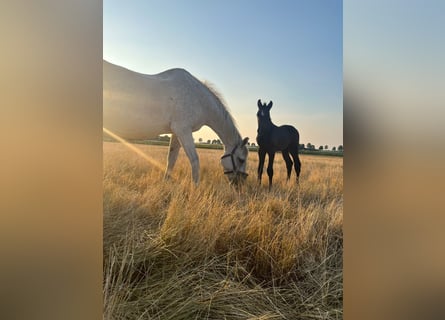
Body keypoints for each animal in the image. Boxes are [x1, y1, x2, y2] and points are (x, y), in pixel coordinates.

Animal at [104, 60, 250, 185]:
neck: (199, 98)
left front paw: (165, 183)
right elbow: (195, 160)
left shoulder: (176, 132)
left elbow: (171, 159)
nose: (239, 184)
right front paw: (195, 188)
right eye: (241, 159)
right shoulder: (183, 130)